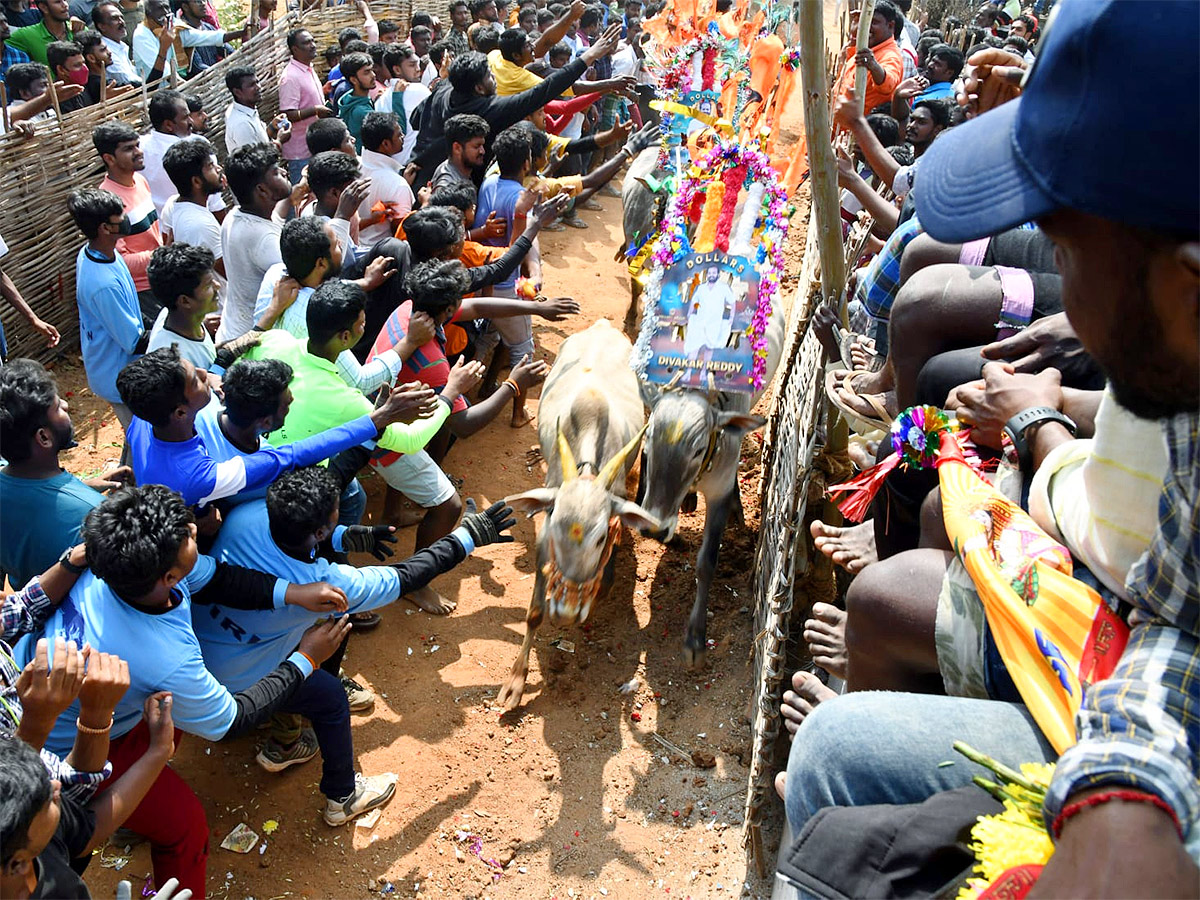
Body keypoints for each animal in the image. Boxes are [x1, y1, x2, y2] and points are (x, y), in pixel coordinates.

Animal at [501, 321, 662, 710]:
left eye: (601, 537)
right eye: (555, 529)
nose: (566, 613)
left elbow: (605, 579)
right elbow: (533, 612)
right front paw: (515, 682)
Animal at [638, 307, 787, 667]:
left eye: (697, 449)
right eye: (649, 437)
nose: (654, 527)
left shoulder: (717, 492)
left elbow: (706, 563)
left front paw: (695, 638)